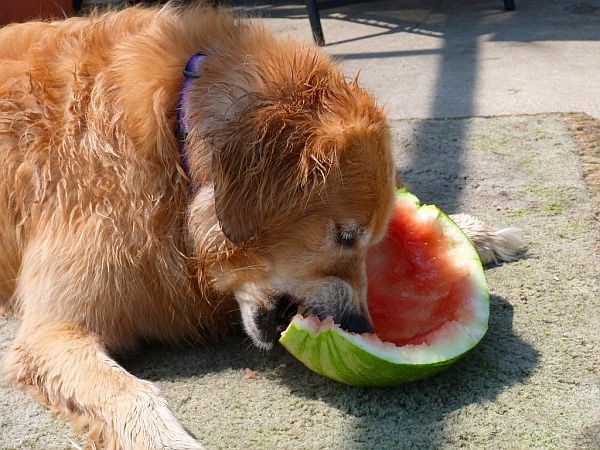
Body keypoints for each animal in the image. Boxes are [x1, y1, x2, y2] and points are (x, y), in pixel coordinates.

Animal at [0, 4, 524, 450]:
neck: (173, 143)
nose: (362, 326)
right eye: (344, 236)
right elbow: (133, 393)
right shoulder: (51, 332)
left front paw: (475, 233)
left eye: (369, 243)